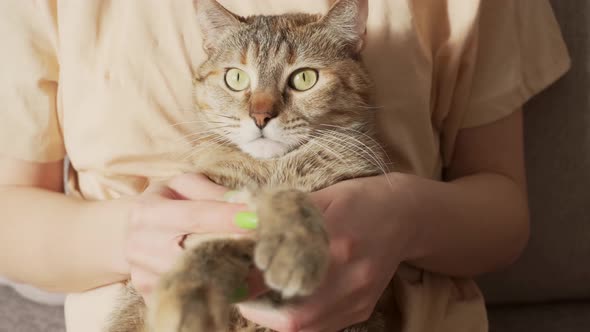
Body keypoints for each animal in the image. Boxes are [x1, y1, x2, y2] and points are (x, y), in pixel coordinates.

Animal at [109, 0, 400, 332]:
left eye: (304, 78)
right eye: (235, 78)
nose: (260, 116)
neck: (270, 169)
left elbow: (289, 196)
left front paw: (293, 241)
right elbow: (214, 245)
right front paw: (190, 292)